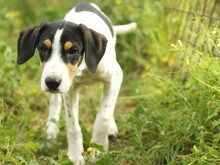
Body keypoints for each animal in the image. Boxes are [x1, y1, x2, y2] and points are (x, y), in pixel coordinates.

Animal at [16, 1, 136, 164]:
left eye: (73, 50)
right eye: (43, 48)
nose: (52, 82)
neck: (83, 67)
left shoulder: (115, 76)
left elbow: (103, 117)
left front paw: (98, 149)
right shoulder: (69, 88)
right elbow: (72, 125)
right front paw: (74, 155)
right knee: (55, 101)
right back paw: (52, 128)